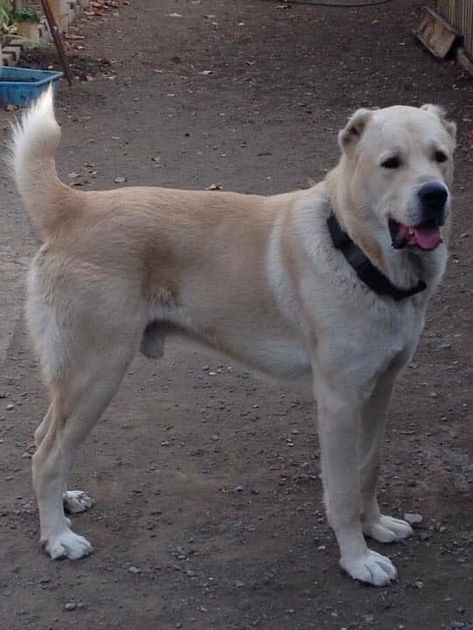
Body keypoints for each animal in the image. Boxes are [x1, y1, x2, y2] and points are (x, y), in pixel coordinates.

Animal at [10, 87, 454, 588]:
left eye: (441, 158)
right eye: (391, 163)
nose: (435, 195)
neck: (355, 250)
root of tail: (75, 206)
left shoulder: (380, 392)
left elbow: (368, 470)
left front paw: (375, 526)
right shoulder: (339, 402)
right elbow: (341, 492)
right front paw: (357, 559)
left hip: (78, 380)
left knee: (44, 437)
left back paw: (65, 503)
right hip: (96, 375)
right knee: (47, 456)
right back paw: (57, 537)